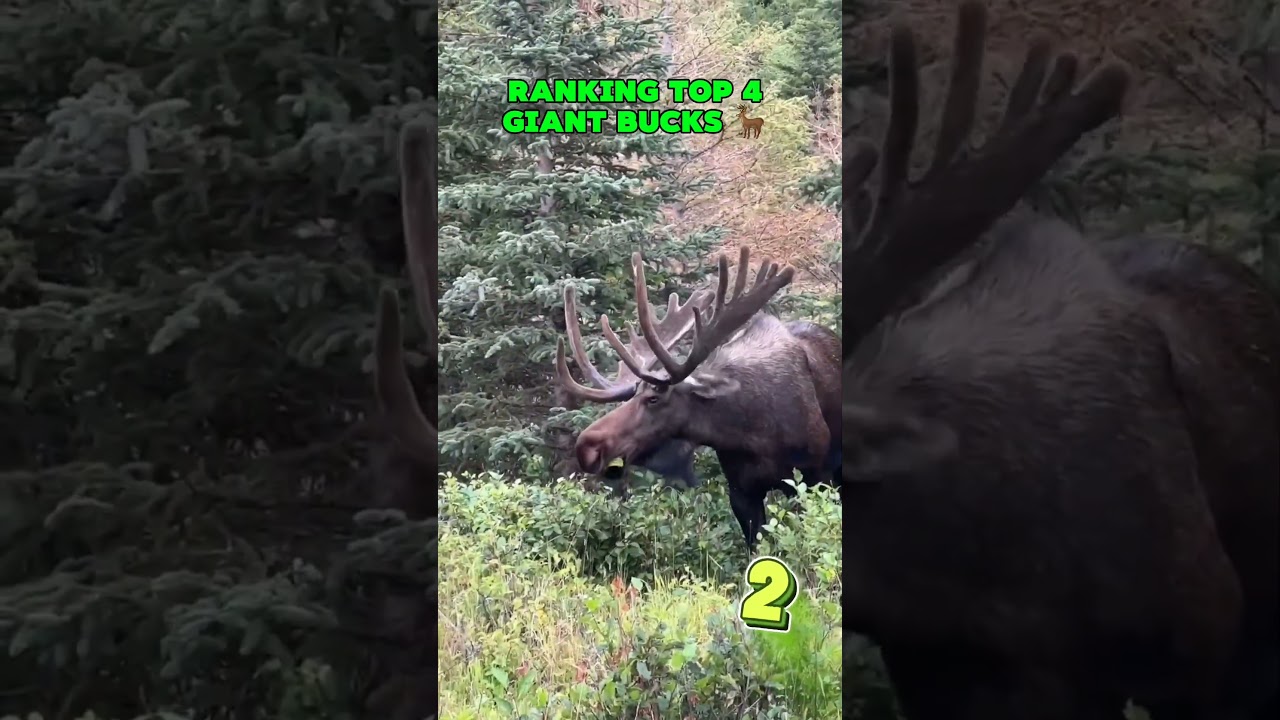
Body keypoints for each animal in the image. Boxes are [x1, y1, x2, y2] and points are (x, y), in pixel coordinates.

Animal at [555, 246, 840, 550]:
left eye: (654, 399)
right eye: (632, 397)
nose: (586, 447)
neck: (753, 435)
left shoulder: (817, 478)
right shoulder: (741, 493)